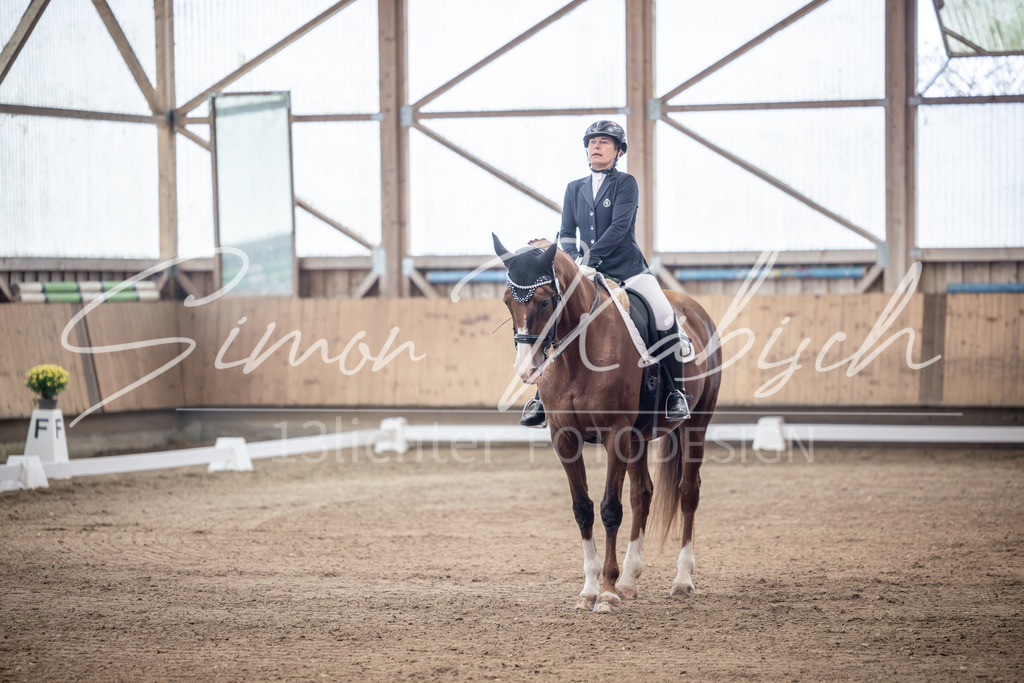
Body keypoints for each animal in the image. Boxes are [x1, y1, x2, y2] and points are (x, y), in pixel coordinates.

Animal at [493, 234, 723, 613]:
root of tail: (692, 308)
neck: (577, 356)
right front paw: (590, 589)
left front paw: (607, 592)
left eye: (544, 301)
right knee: (642, 494)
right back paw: (630, 579)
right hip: (639, 437)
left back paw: (681, 579)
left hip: (695, 426)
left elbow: (610, 509)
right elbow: (583, 509)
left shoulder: (616, 434)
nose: (526, 370)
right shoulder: (565, 438)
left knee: (689, 492)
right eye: (507, 301)